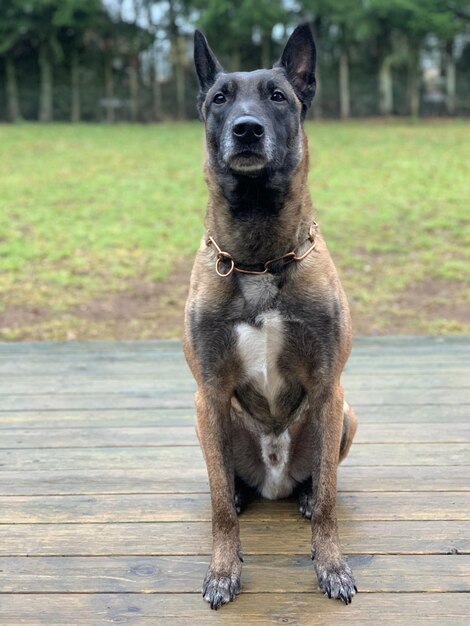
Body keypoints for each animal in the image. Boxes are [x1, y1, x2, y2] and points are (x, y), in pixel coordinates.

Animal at [182, 23, 358, 604]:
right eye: (220, 99)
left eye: (278, 96)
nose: (247, 130)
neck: (258, 260)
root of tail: (274, 479)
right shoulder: (210, 393)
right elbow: (218, 507)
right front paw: (223, 571)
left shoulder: (328, 389)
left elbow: (328, 500)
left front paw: (331, 566)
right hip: (203, 421)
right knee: (227, 483)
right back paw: (243, 492)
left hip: (345, 414)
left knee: (318, 481)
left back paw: (300, 495)